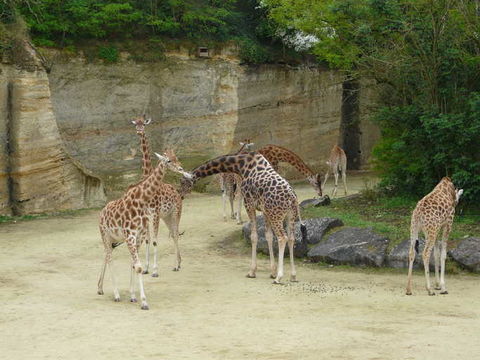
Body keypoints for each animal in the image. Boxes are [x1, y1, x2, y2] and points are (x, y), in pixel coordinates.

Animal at [96, 152, 192, 310]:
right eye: (168, 160)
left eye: (176, 157)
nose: (181, 169)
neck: (140, 200)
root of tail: (101, 213)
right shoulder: (131, 236)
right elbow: (139, 266)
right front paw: (144, 301)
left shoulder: (138, 236)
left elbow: (134, 264)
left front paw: (133, 296)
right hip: (106, 235)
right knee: (109, 258)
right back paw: (115, 294)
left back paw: (100, 288)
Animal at [180, 152, 308, 284]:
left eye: (182, 182)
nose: (180, 194)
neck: (240, 166)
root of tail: (292, 197)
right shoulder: (265, 211)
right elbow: (268, 236)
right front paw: (272, 272)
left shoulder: (249, 204)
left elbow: (254, 237)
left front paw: (252, 272)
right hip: (289, 216)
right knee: (291, 238)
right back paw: (293, 275)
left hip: (276, 215)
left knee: (283, 238)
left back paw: (279, 277)